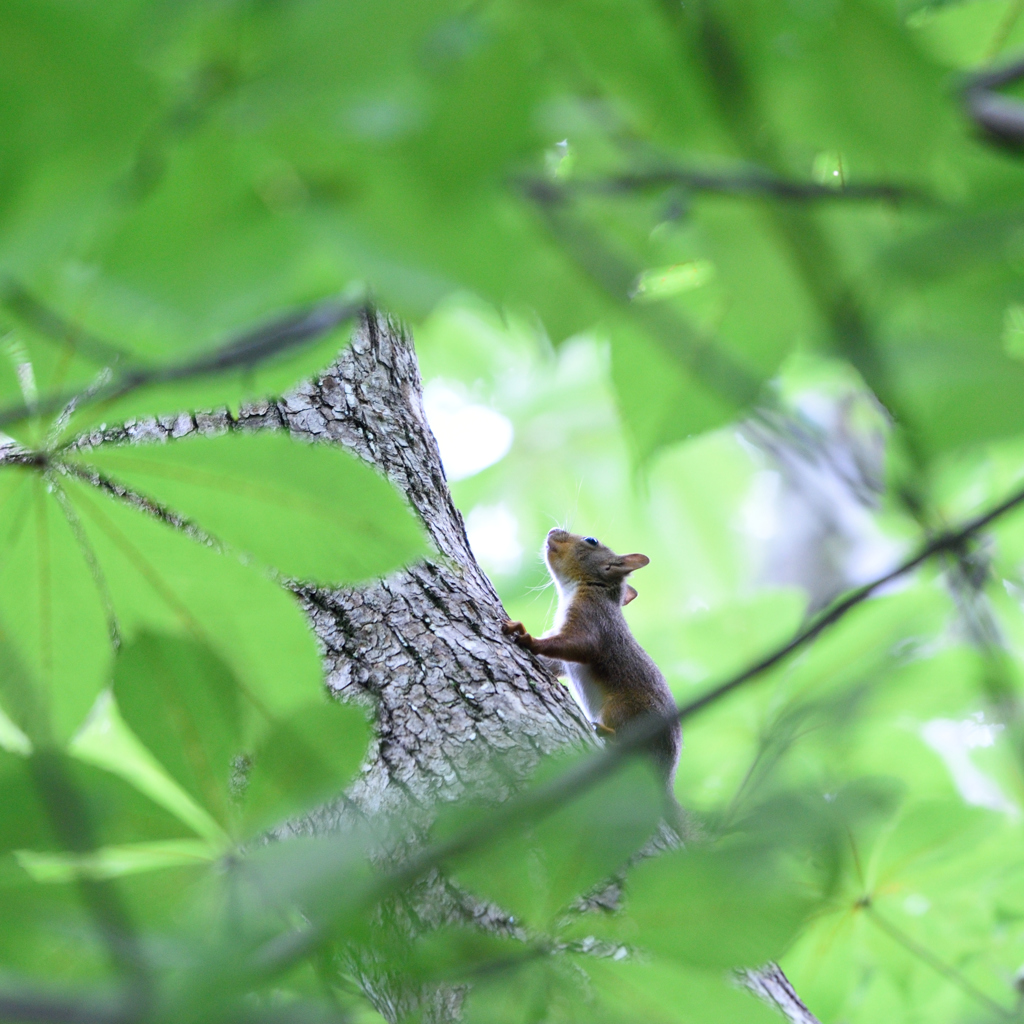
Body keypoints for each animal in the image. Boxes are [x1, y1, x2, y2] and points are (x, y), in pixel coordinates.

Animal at [501, 528, 684, 831]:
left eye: (591, 541)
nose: (552, 531)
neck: (586, 587)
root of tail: (666, 779)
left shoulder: (593, 621)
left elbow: (577, 646)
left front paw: (528, 638)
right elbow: (556, 663)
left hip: (623, 710)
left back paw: (608, 736)